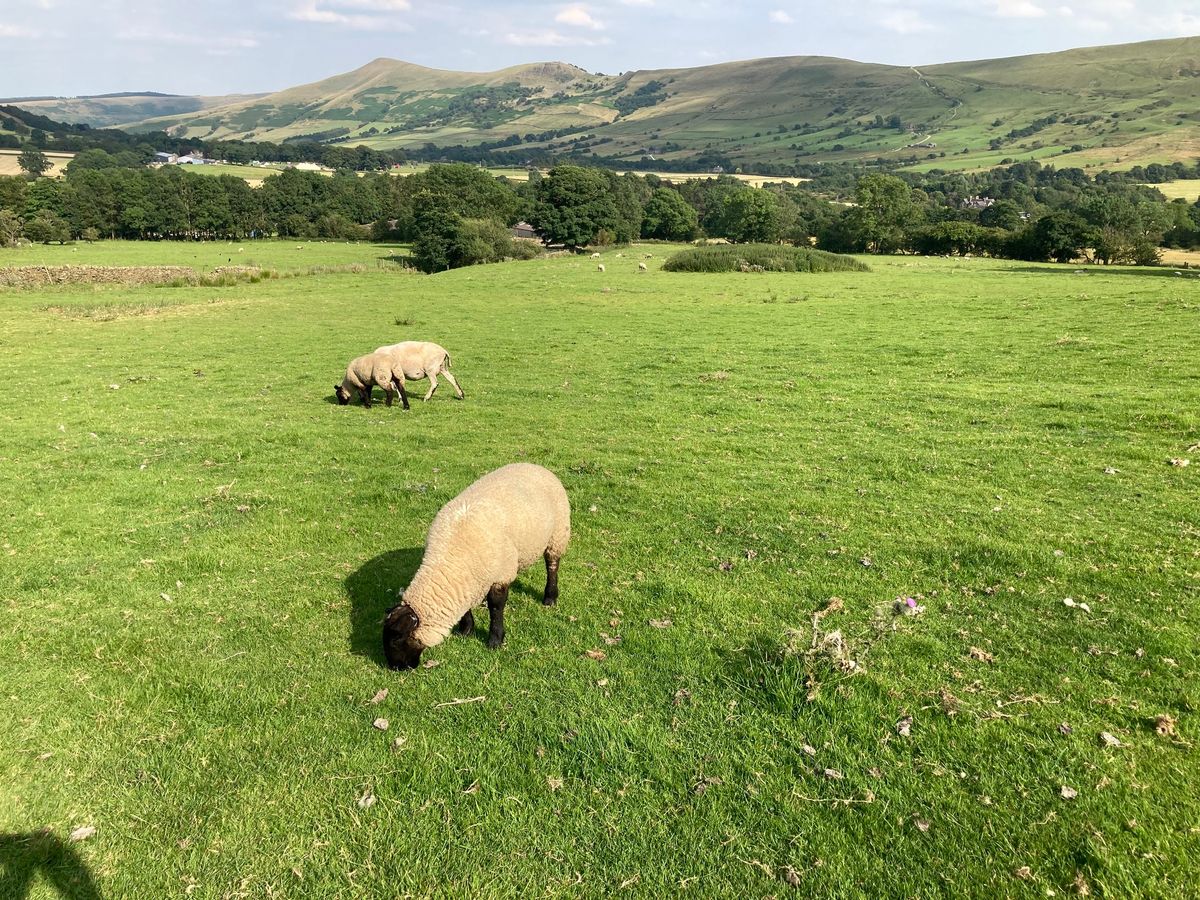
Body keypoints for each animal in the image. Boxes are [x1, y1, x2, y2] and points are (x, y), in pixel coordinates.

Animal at [384, 465, 571, 672]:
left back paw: (550, 597)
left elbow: (496, 607)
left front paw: (495, 640)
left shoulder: (500, 575)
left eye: (396, 640)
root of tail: (534, 465)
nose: (395, 668)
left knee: (552, 565)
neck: (451, 560)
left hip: (558, 534)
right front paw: (466, 631)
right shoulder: (465, 582)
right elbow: (466, 608)